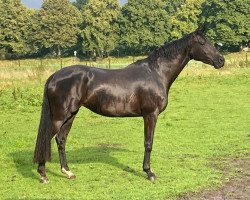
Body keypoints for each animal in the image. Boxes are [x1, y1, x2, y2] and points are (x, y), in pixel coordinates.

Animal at [33, 27, 225, 184]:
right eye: (202, 42)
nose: (221, 60)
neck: (156, 73)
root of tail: (53, 76)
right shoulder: (150, 115)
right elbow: (148, 143)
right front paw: (149, 173)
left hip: (71, 115)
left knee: (61, 140)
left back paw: (68, 172)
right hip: (59, 117)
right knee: (46, 139)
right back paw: (43, 175)